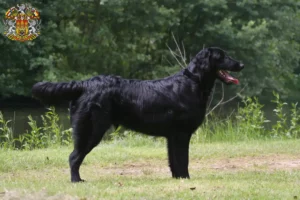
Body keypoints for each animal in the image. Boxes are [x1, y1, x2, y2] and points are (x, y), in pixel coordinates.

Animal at [32, 47, 244, 182]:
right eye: (222, 56)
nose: (241, 64)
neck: (193, 82)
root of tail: (85, 84)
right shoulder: (181, 134)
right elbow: (183, 160)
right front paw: (186, 179)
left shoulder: (172, 136)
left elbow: (174, 161)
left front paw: (178, 179)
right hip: (91, 130)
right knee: (74, 157)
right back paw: (77, 180)